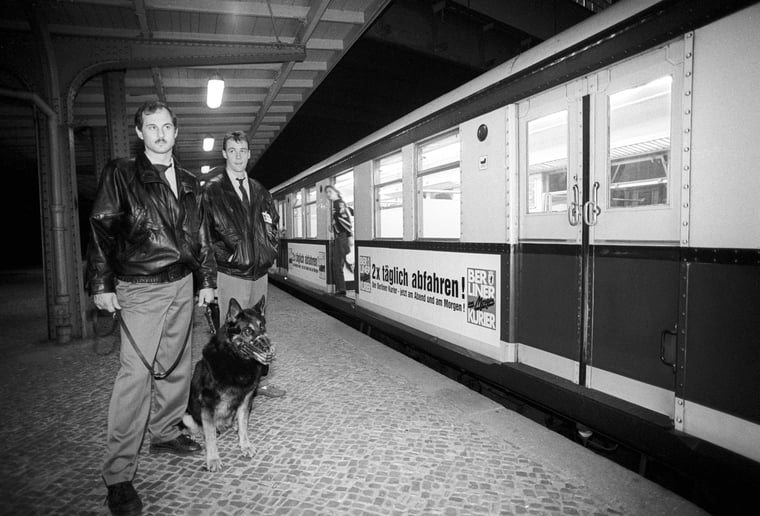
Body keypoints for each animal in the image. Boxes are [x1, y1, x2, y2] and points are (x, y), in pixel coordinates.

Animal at [183, 294, 274, 472]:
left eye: (262, 327)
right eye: (247, 331)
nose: (268, 351)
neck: (235, 359)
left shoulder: (246, 400)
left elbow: (244, 425)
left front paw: (245, 445)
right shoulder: (208, 403)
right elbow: (210, 435)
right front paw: (213, 459)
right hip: (186, 415)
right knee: (198, 427)